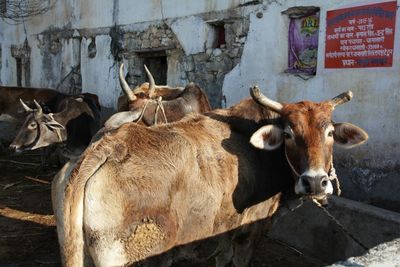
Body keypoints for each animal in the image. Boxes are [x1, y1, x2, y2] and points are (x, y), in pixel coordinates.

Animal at [54, 87, 368, 266]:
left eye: (330, 132)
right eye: (289, 133)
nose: (315, 181)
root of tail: (111, 145)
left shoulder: (222, 233)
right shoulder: (249, 232)